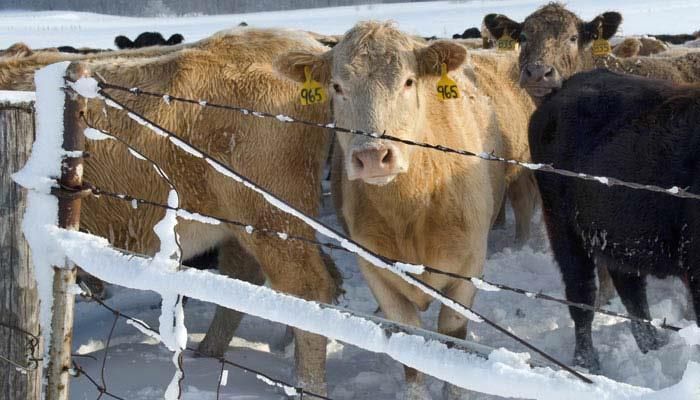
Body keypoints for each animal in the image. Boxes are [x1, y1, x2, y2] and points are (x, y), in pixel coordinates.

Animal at [275, 21, 533, 399]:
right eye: (337, 86)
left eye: (409, 81)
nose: (372, 156)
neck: (412, 210)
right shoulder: (374, 266)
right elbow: (409, 340)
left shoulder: (469, 266)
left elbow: (452, 339)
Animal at [528, 69, 700, 372]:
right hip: (563, 228)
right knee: (582, 295)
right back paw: (587, 364)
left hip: (618, 234)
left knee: (631, 291)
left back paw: (652, 347)